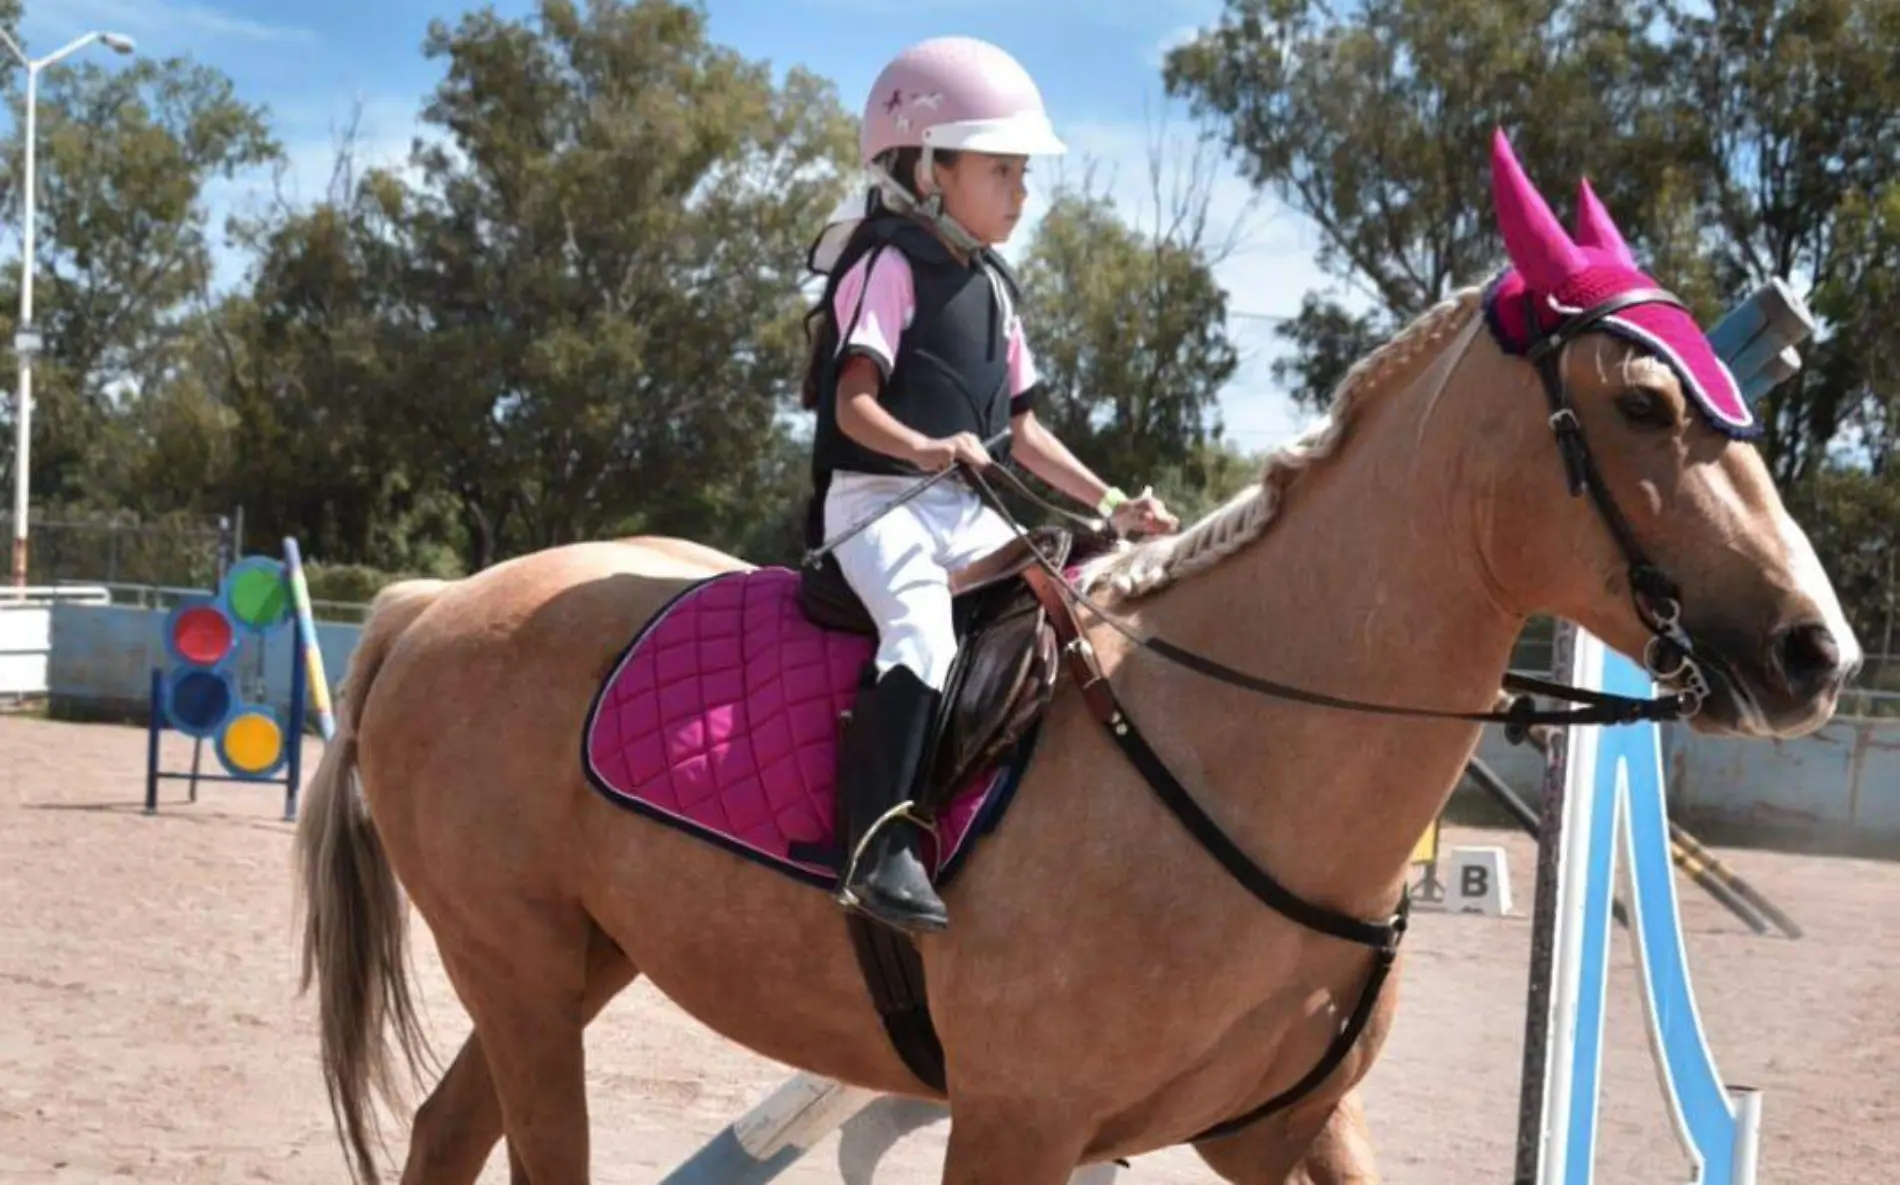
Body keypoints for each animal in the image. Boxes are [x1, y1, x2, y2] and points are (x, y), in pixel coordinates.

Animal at [296, 131, 1854, 1185]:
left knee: (444, 1128)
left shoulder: (1287, 1126)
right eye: (1644, 403)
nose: (1815, 653)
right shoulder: (1015, 1123)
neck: (1240, 758)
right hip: (519, 970)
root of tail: (439, 603)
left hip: (569, 968)